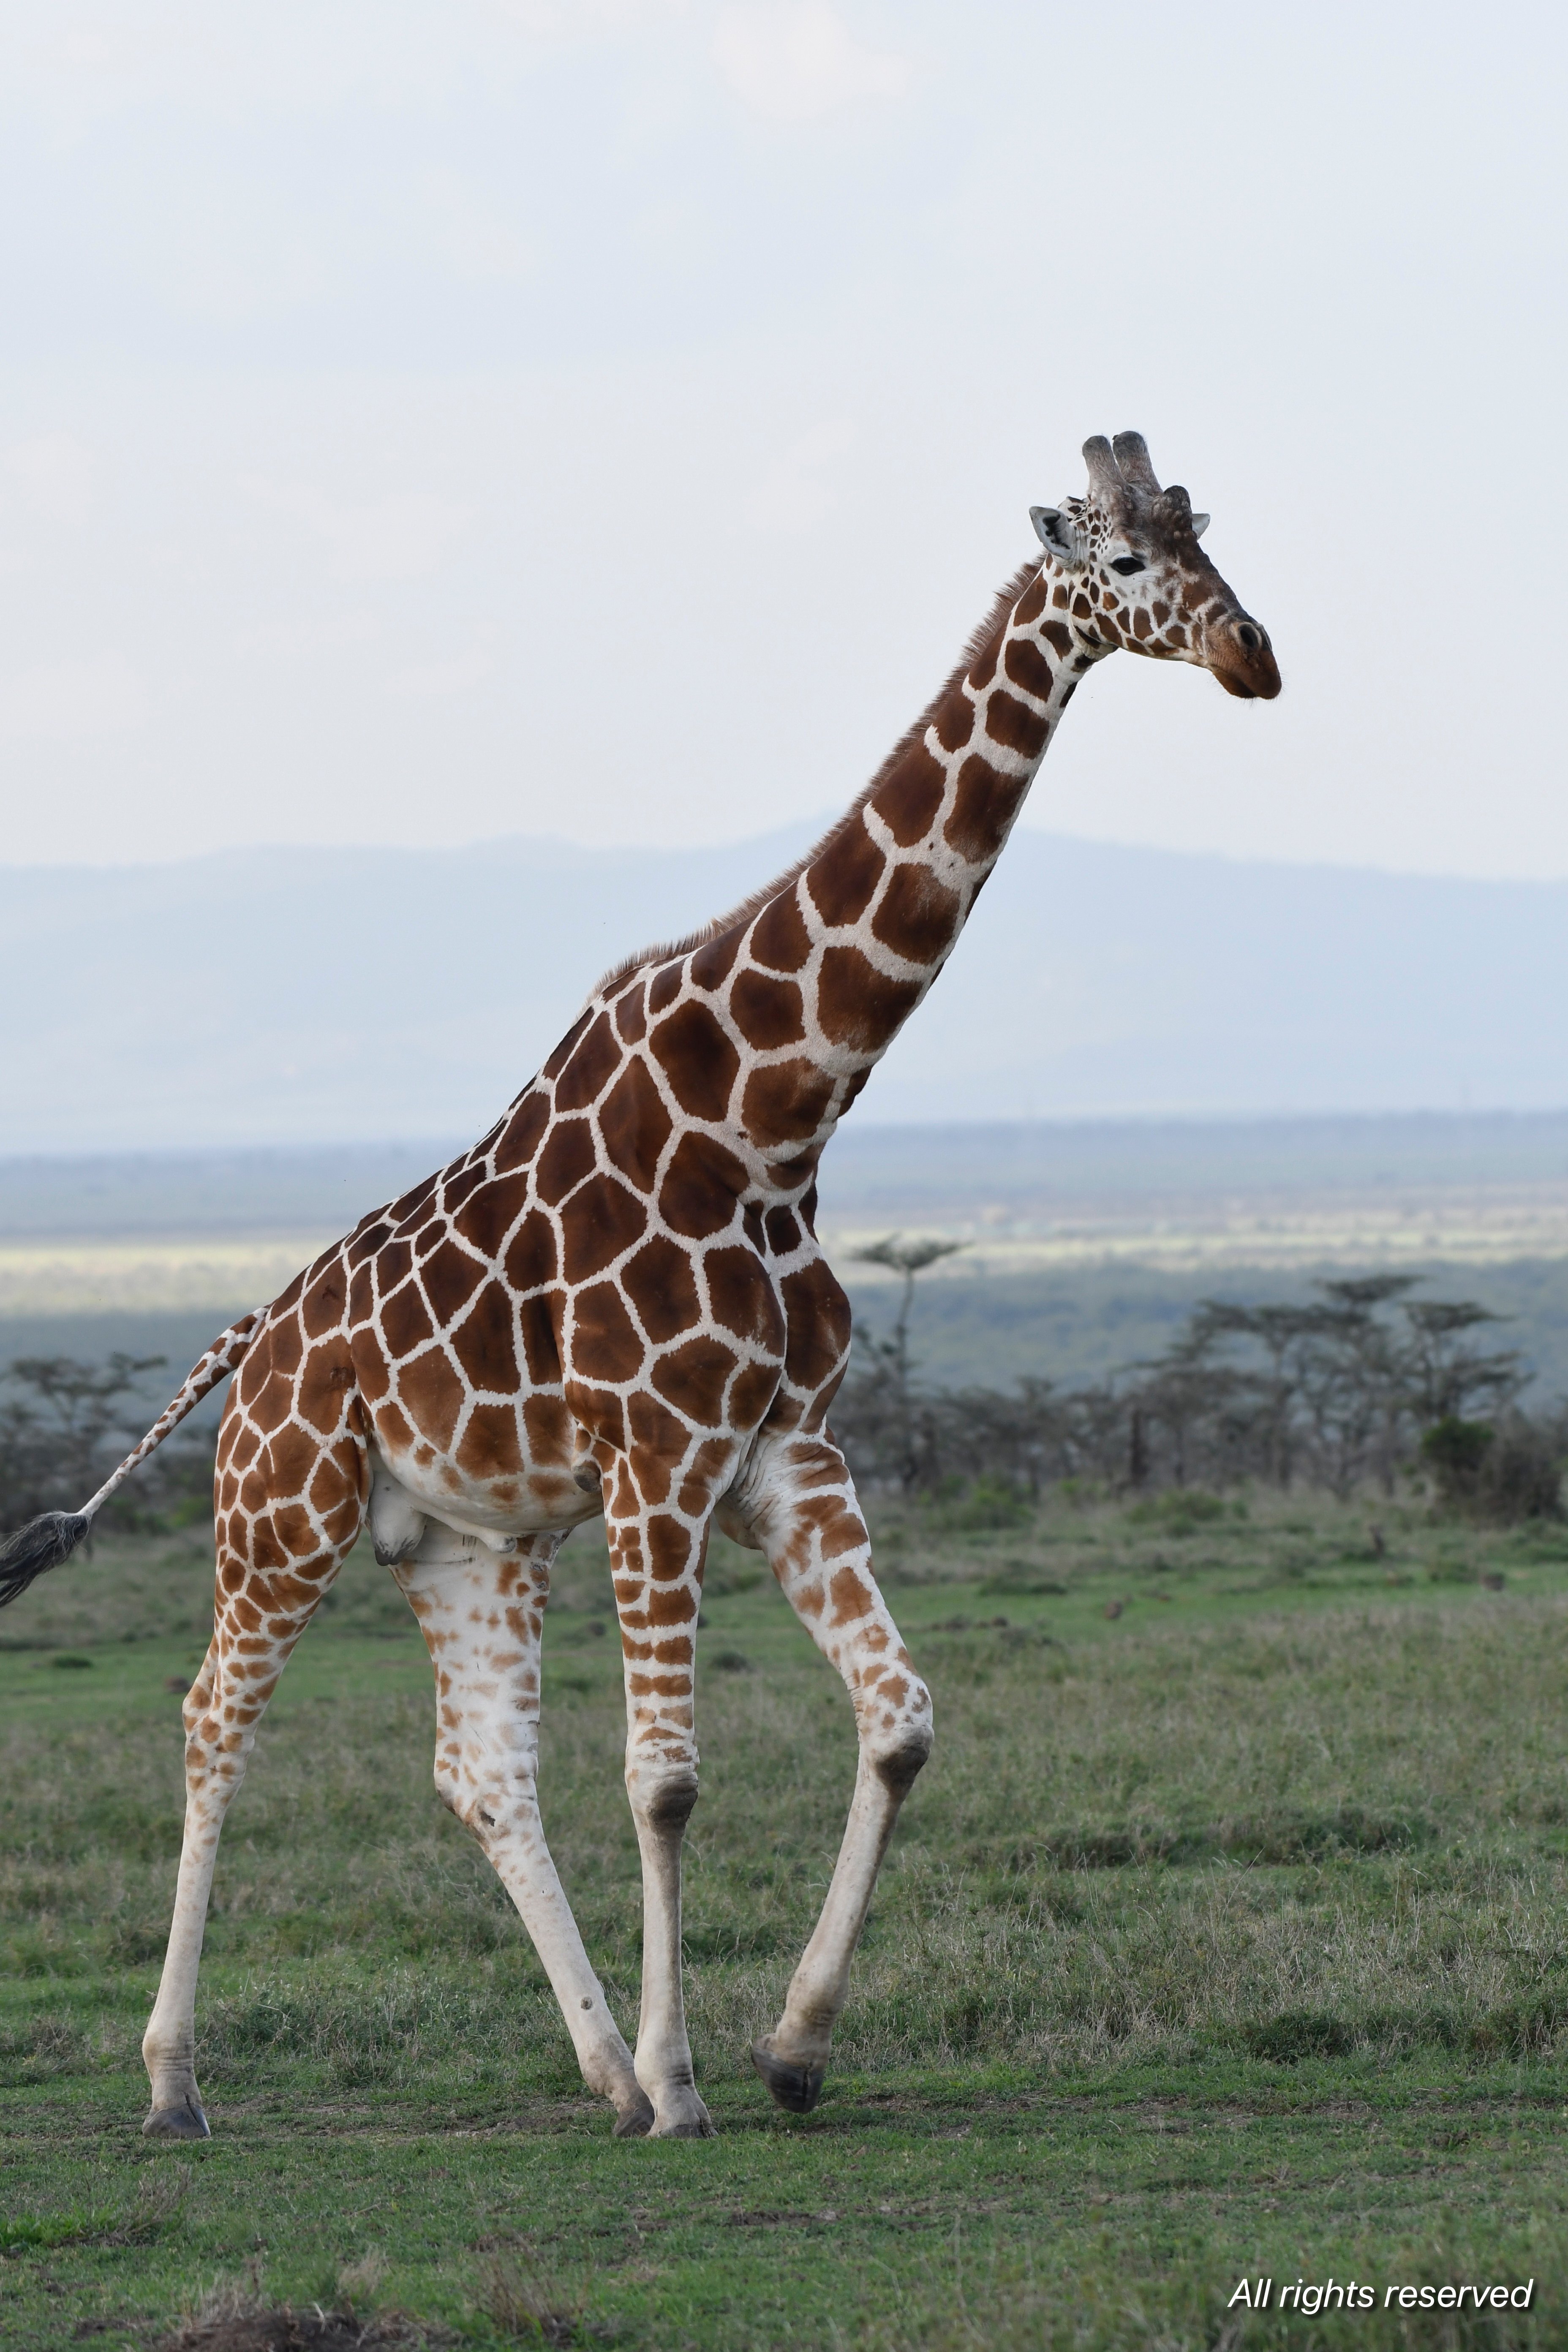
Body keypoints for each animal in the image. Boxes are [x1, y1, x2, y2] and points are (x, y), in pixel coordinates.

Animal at [0, 432, 1279, 2142]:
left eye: (1206, 538)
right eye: (1128, 564)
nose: (1253, 655)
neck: (770, 1114)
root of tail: (251, 1334)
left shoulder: (785, 1449)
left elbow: (900, 1721)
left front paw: (787, 2048)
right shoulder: (657, 1460)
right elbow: (665, 1779)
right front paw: (687, 2084)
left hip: (463, 1539)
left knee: (481, 1770)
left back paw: (595, 2063)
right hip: (279, 1511)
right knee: (216, 1722)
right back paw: (177, 2080)